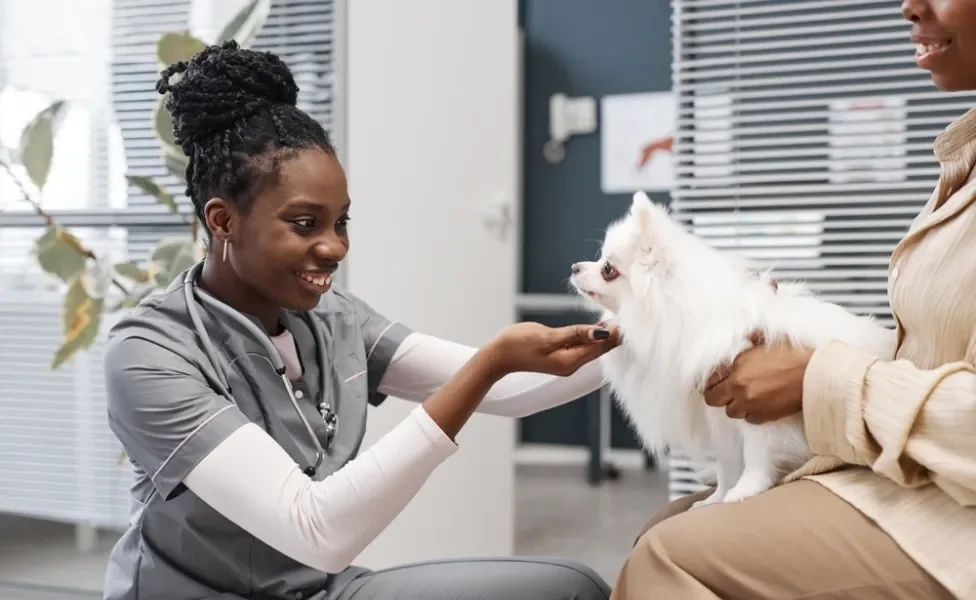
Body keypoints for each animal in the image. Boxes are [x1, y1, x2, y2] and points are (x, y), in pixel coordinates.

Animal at [568, 192, 896, 506]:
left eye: (607, 268)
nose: (574, 267)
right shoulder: (719, 416)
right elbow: (728, 464)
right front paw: (716, 498)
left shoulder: (758, 412)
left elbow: (756, 456)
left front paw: (746, 490)